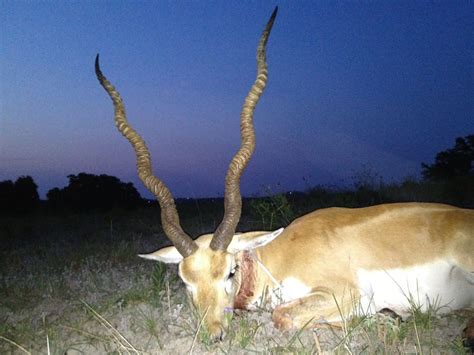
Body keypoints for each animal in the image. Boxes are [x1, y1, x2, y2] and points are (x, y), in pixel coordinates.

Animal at [97, 6, 474, 344]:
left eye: (230, 272)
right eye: (186, 281)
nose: (214, 335)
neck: (278, 258)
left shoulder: (347, 292)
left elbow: (283, 316)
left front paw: (387, 318)